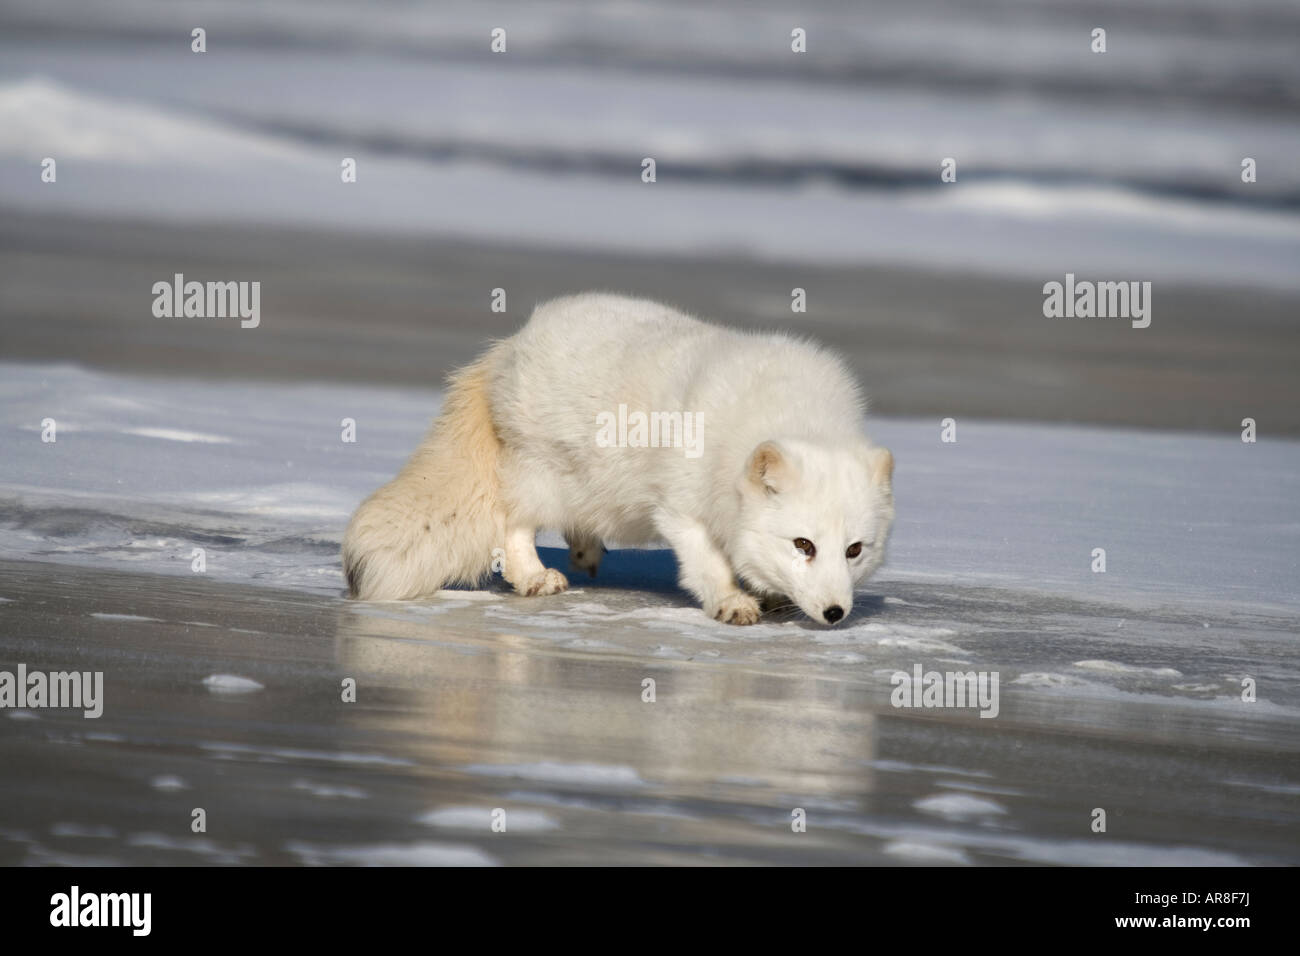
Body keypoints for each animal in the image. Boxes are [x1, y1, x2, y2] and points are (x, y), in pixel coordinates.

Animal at [345, 293, 894, 629]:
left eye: (854, 550)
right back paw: (535, 577)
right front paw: (731, 602)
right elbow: (708, 563)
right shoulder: (680, 506)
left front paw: (775, 595)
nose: (835, 613)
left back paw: (586, 548)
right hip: (541, 472)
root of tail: (509, 346)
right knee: (512, 524)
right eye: (803, 544)